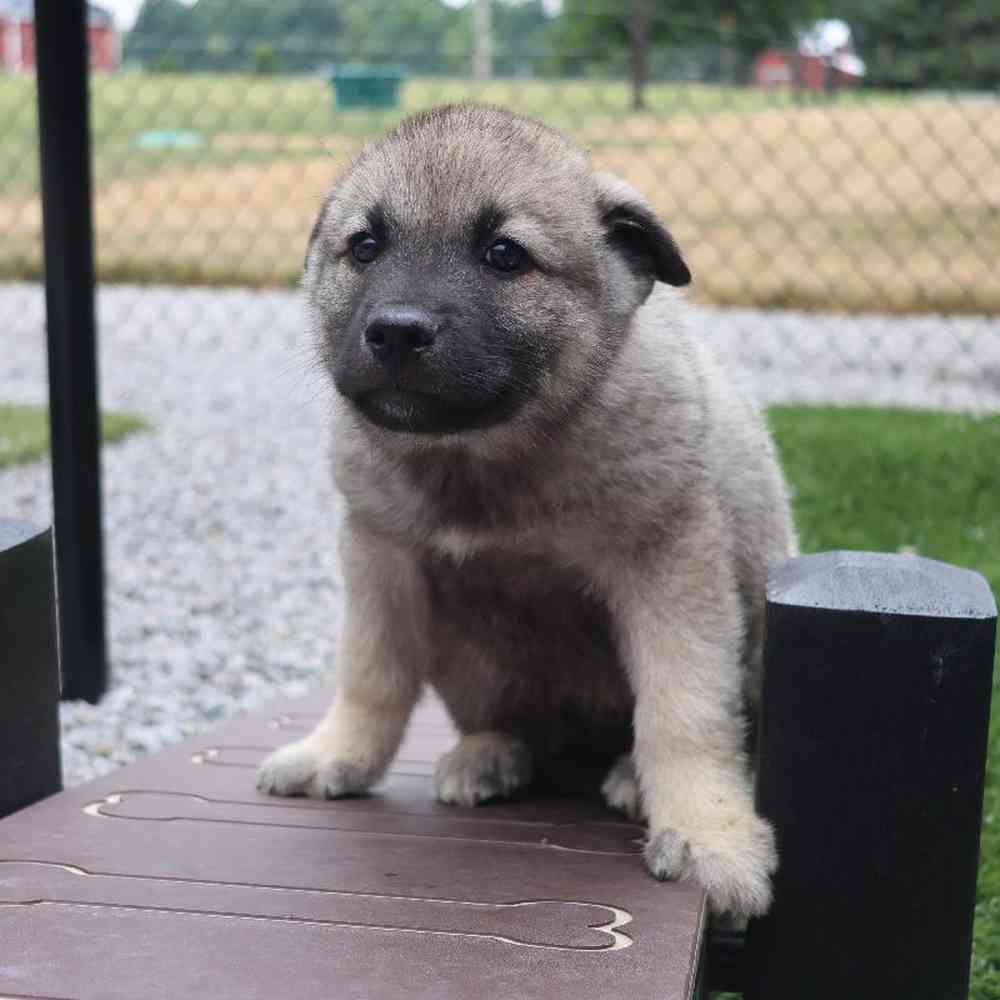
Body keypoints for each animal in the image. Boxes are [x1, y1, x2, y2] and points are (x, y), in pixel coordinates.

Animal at [258, 105, 796, 916]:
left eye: (505, 255)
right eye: (366, 246)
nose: (396, 331)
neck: (484, 455)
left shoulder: (671, 565)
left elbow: (685, 709)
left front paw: (710, 834)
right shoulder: (380, 556)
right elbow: (370, 673)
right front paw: (338, 753)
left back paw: (630, 778)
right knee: (513, 725)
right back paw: (490, 754)